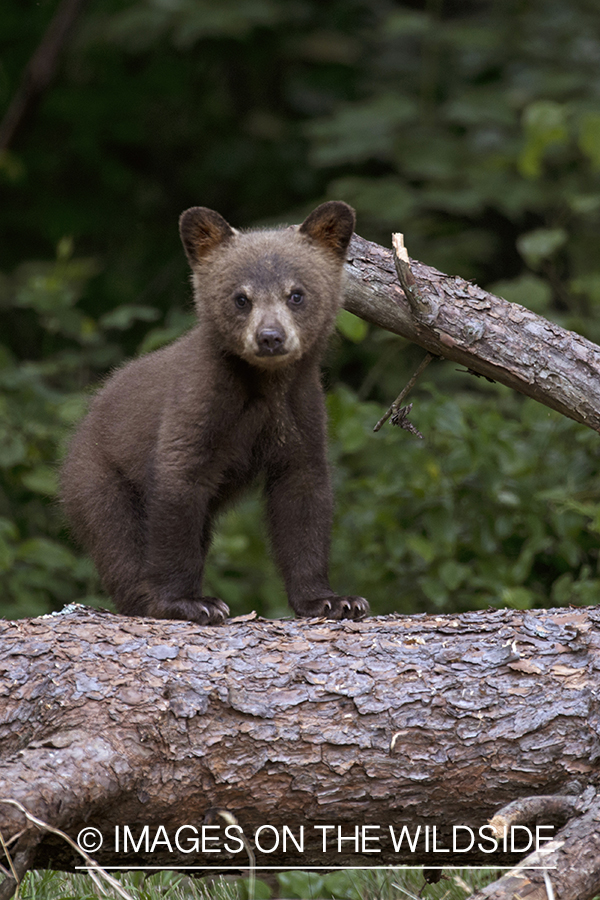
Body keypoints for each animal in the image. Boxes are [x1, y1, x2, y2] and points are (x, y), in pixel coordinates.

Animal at [60, 201, 369, 625]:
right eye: (241, 298)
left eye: (296, 294)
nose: (270, 338)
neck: (264, 384)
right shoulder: (198, 405)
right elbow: (178, 488)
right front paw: (188, 602)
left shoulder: (300, 412)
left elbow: (303, 495)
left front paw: (332, 599)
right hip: (97, 477)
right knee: (117, 537)